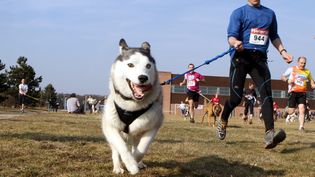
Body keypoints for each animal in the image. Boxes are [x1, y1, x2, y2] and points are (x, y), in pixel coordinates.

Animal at [102, 38, 164, 174]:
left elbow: (142, 148)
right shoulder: (111, 126)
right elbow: (121, 147)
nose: (143, 78)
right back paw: (118, 167)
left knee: (136, 145)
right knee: (116, 150)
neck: (132, 105)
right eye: (130, 65)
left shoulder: (153, 125)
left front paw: (135, 162)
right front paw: (130, 165)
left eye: (148, 66)